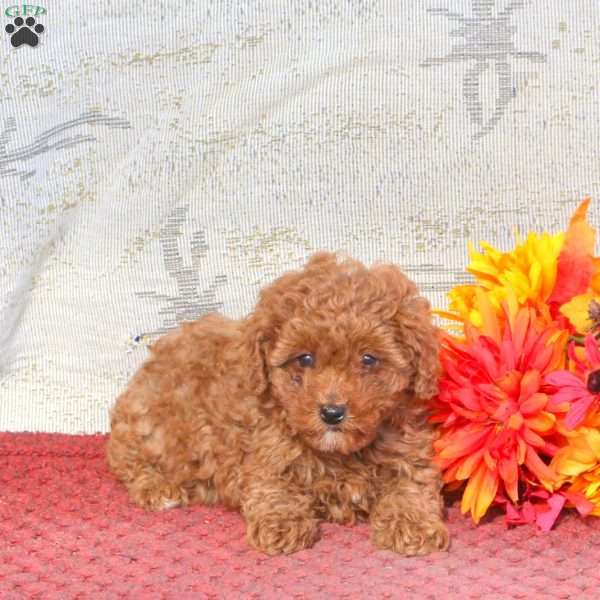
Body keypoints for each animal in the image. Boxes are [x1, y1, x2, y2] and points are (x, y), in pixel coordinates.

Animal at [108, 251, 448, 556]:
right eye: (305, 358)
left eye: (368, 359)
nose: (332, 413)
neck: (341, 453)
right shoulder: (264, 455)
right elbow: (274, 489)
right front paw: (281, 525)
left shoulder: (408, 449)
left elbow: (411, 485)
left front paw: (414, 525)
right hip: (149, 426)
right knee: (129, 462)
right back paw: (158, 489)